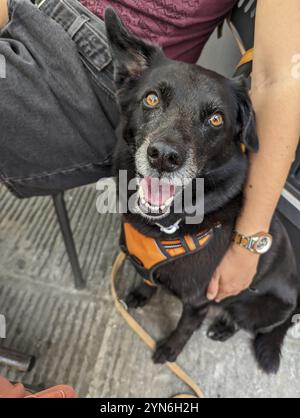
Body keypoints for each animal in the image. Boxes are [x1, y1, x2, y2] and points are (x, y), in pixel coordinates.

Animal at [104, 8, 298, 372]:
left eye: (216, 119)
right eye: (151, 98)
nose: (164, 157)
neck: (165, 225)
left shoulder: (198, 302)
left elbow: (184, 327)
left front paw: (169, 350)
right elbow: (147, 280)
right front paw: (141, 294)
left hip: (254, 306)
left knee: (256, 323)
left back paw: (224, 327)